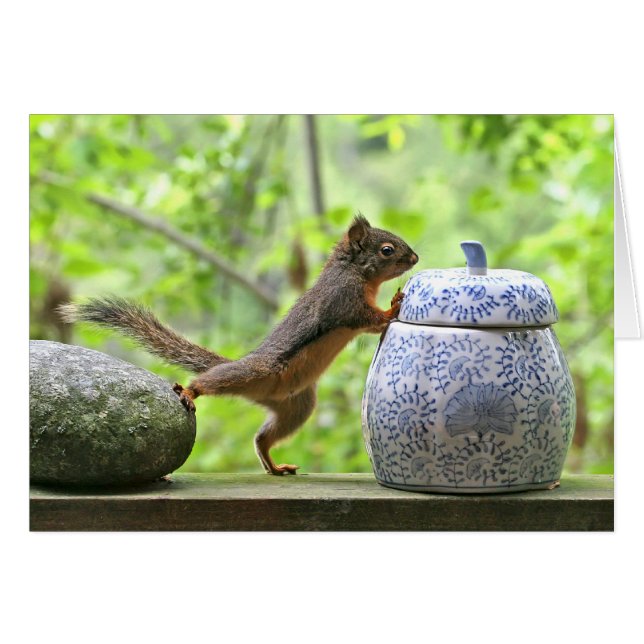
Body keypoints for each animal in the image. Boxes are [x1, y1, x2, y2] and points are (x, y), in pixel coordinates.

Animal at [60, 215, 419, 475]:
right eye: (387, 250)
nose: (415, 257)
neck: (354, 272)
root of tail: (263, 390)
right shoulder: (343, 301)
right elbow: (367, 318)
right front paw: (393, 306)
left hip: (297, 406)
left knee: (262, 438)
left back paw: (274, 465)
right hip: (255, 372)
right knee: (210, 381)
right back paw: (189, 391)